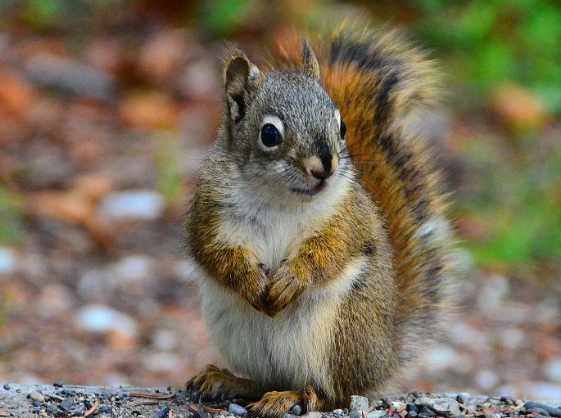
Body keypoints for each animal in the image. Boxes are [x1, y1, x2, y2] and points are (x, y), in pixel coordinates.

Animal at [184, 25, 456, 418]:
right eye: (269, 134)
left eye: (341, 126)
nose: (325, 165)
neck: (280, 196)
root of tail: (382, 359)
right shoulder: (210, 213)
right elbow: (214, 253)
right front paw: (251, 282)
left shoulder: (349, 218)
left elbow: (331, 251)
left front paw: (292, 279)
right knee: (264, 380)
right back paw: (228, 380)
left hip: (339, 336)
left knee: (335, 394)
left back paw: (294, 396)